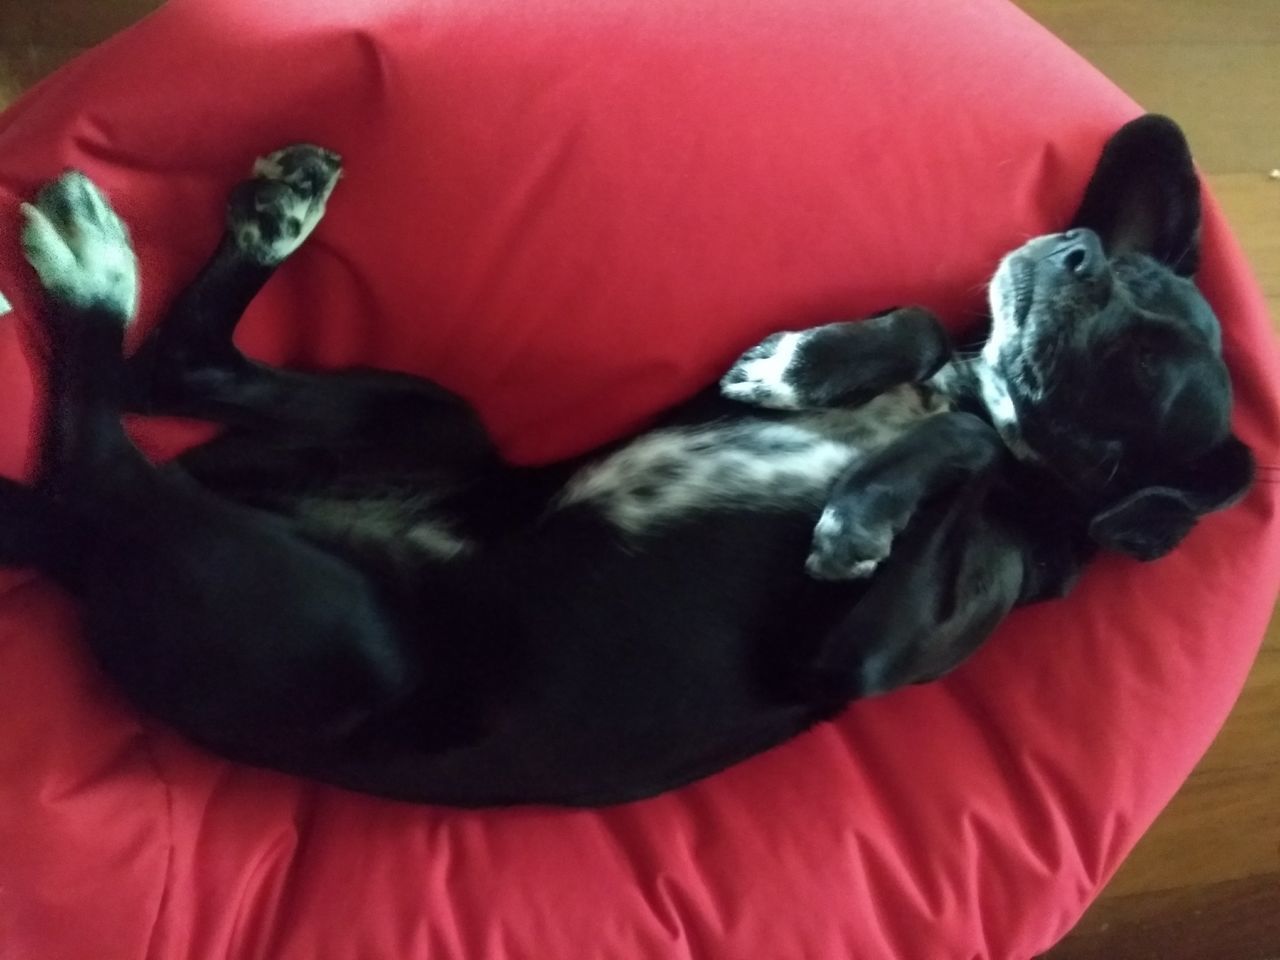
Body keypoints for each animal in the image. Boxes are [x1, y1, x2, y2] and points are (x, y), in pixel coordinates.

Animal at [0, 112, 1254, 808]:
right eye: (1111, 271)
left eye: (1145, 365)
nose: (1077, 252)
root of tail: (64, 549)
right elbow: (914, 334)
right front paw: (808, 364)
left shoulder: (861, 655)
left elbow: (964, 444)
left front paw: (861, 499)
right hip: (433, 417)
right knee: (169, 376)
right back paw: (264, 220)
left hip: (340, 635)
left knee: (106, 458)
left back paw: (92, 266)